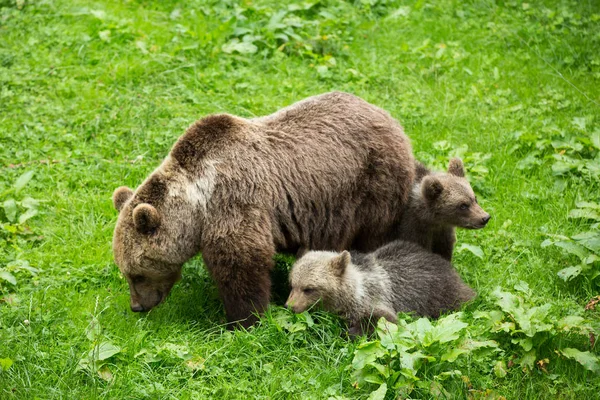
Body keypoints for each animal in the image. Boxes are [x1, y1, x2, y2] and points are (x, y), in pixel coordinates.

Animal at [111, 93, 412, 328]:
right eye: (126, 272)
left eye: (137, 274)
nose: (136, 306)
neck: (198, 205)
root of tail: (389, 117)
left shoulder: (234, 202)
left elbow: (243, 265)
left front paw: (242, 321)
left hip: (373, 188)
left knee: (374, 234)